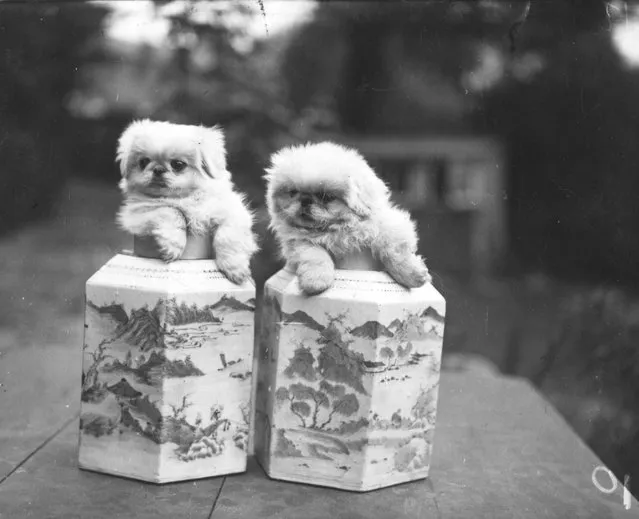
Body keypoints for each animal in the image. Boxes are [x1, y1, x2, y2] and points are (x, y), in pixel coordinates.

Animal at [115, 118, 258, 284]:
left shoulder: (232, 212)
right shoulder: (136, 215)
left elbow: (228, 237)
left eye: (178, 165)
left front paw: (235, 268)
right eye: (143, 162)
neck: (185, 198)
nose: (158, 169)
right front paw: (173, 246)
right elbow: (172, 211)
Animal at [262, 141, 432, 296]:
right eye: (292, 193)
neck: (339, 230)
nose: (305, 200)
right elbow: (315, 253)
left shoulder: (389, 226)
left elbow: (393, 250)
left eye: (325, 197)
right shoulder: (298, 241)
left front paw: (412, 274)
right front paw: (316, 280)